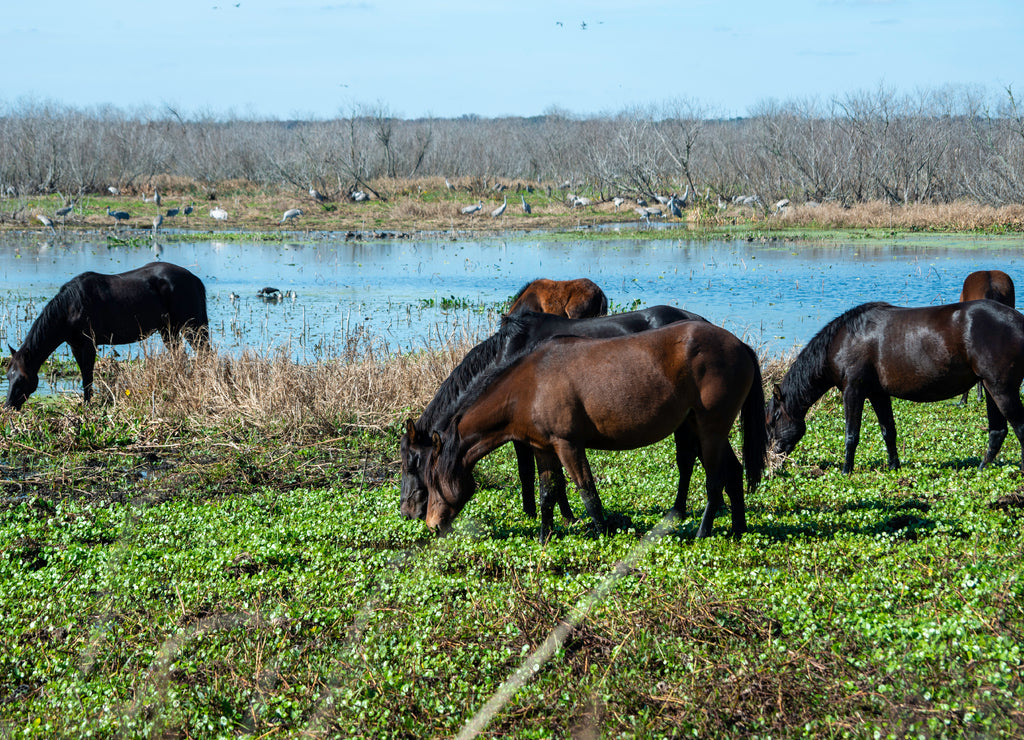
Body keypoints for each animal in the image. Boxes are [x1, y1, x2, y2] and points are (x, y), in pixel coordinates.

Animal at [5, 262, 210, 409]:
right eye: (8, 376)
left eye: (21, 378)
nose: (7, 407)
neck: (70, 307)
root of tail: (194, 279)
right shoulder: (75, 346)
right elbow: (84, 374)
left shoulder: (89, 345)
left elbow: (87, 375)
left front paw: (87, 405)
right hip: (169, 330)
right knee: (180, 356)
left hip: (192, 328)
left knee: (204, 354)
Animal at [400, 306, 708, 523]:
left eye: (413, 463)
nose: (407, 512)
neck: (510, 353)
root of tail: (702, 322)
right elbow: (548, 475)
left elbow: (533, 473)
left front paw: (553, 515)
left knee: (687, 460)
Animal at [423, 320, 767, 542]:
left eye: (432, 481)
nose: (431, 525)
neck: (529, 385)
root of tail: (740, 345)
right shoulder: (543, 448)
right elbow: (548, 493)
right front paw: (544, 537)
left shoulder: (568, 445)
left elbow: (587, 491)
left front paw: (603, 534)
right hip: (702, 427)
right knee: (733, 473)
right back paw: (738, 529)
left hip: (711, 429)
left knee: (715, 481)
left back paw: (702, 532)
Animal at [766, 300, 1024, 474]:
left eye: (774, 419)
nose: (772, 458)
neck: (845, 339)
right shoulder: (878, 393)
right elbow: (888, 431)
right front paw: (893, 466)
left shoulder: (853, 390)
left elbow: (851, 434)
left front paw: (846, 470)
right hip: (991, 388)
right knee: (998, 431)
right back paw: (981, 468)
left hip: (1002, 389)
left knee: (1019, 428)